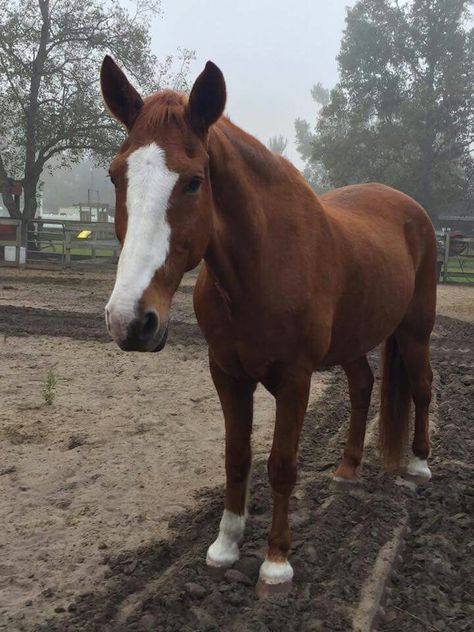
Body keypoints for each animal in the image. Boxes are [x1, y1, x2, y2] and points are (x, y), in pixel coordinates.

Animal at [101, 55, 436, 592]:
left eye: (194, 180)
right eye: (116, 177)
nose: (130, 320)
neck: (261, 265)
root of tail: (412, 210)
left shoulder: (295, 379)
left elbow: (281, 464)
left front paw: (277, 562)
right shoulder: (227, 374)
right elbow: (236, 457)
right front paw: (225, 547)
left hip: (415, 331)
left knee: (422, 388)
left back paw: (420, 466)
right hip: (354, 341)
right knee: (363, 386)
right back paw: (347, 469)